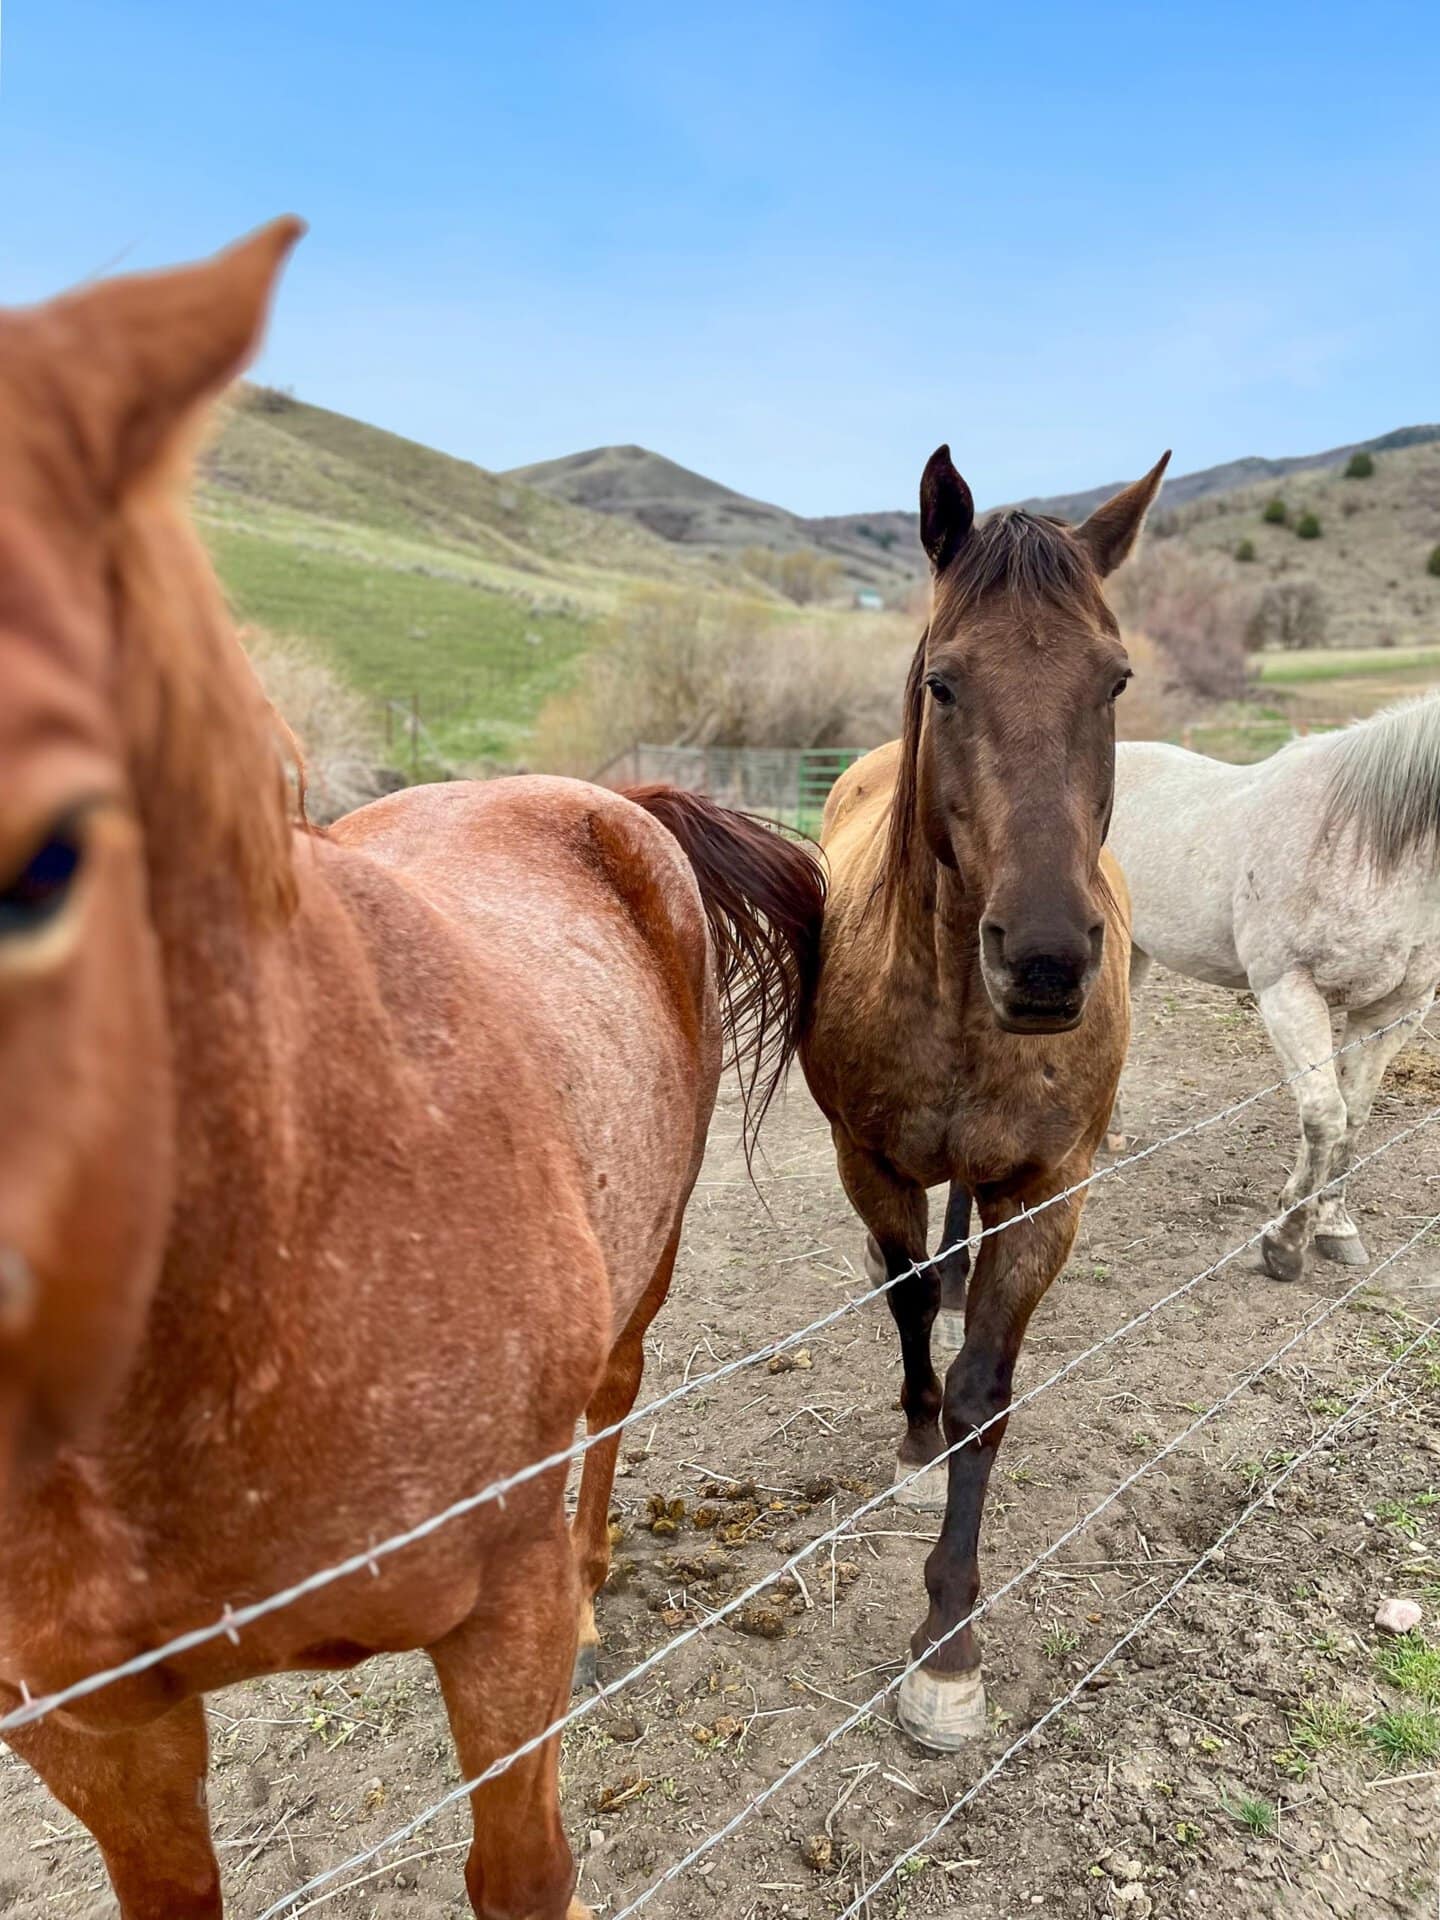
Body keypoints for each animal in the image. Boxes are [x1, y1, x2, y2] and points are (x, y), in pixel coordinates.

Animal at [0, 224, 824, 1920]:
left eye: (49, 855)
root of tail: (603, 794)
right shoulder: (94, 1731)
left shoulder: (495, 1631)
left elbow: (524, 1866)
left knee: (612, 1411)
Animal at [800, 444, 1168, 1750]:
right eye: (946, 683)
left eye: (1115, 681)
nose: (1048, 959)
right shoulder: (867, 1160)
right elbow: (905, 1298)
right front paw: (913, 1427)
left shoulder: (1049, 1190)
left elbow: (986, 1395)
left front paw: (949, 1642)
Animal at [1107, 702, 1440, 1281]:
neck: (1371, 846)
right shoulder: (1287, 992)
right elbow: (1324, 1116)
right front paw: (1285, 1244)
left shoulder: (1394, 1010)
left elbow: (1355, 1116)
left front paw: (1335, 1227)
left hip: (1135, 951)